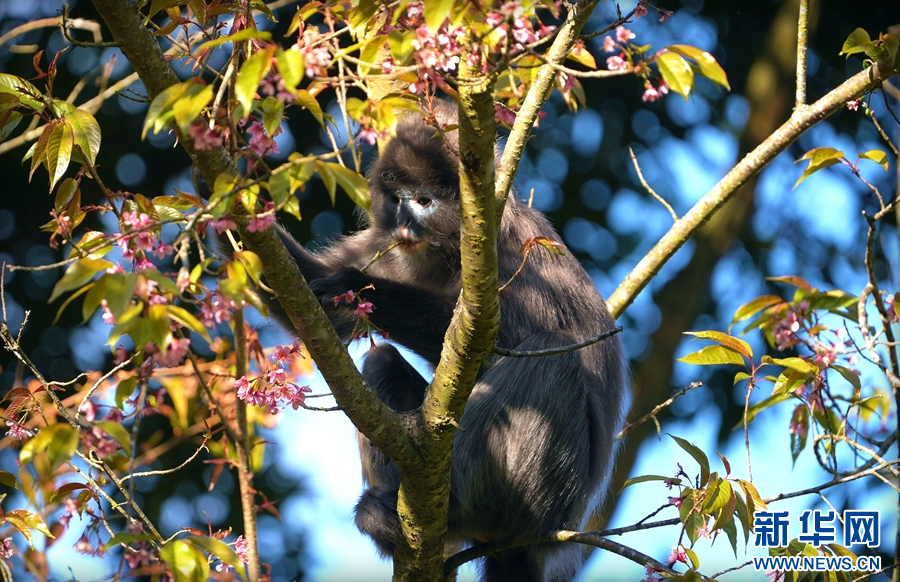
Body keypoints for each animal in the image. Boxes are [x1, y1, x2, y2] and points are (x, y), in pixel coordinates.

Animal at [221, 102, 624, 580]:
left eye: (425, 201)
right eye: (397, 198)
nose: (404, 224)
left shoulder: (514, 250)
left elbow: (506, 339)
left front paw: (358, 286)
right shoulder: (384, 245)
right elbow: (315, 307)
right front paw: (218, 199)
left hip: (548, 496)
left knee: (547, 354)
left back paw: (449, 501)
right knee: (382, 363)